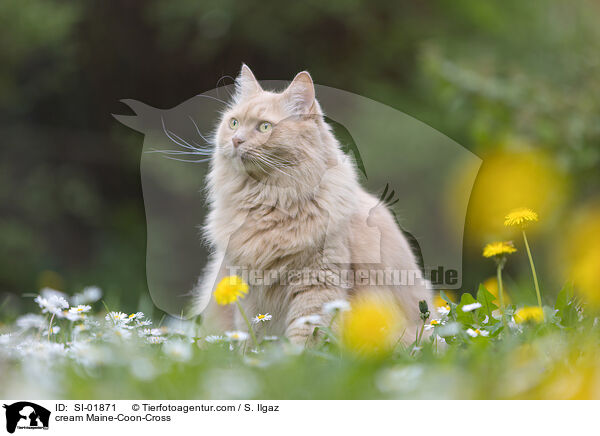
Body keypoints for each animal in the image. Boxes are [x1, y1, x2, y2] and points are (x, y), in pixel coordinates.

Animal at [192, 64, 432, 344]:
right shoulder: (249, 292)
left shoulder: (317, 282)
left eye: (264, 127)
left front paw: (294, 356)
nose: (236, 140)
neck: (267, 203)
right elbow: (252, 335)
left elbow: (305, 336)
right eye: (233, 123)